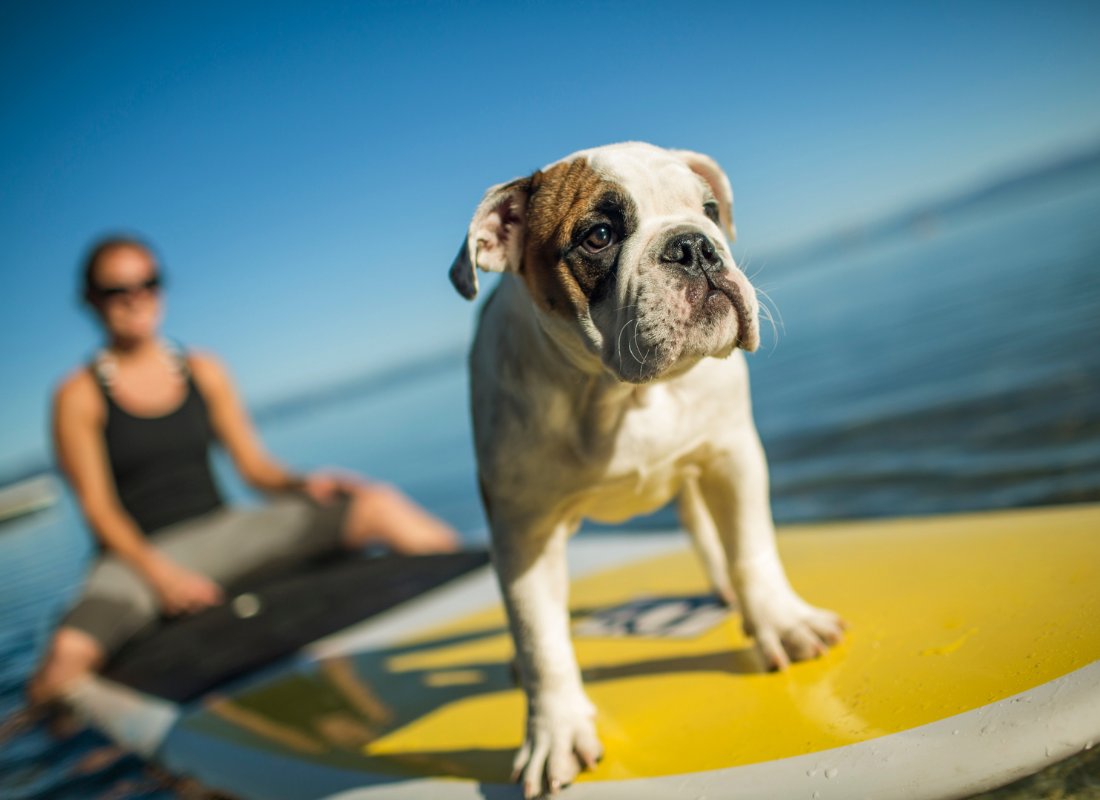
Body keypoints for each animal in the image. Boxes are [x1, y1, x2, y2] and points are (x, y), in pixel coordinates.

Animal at [451, 140, 844, 796]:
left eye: (708, 210)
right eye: (599, 235)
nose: (693, 246)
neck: (618, 395)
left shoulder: (732, 455)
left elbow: (751, 549)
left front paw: (782, 623)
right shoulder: (523, 533)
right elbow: (539, 637)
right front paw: (554, 732)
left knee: (707, 532)